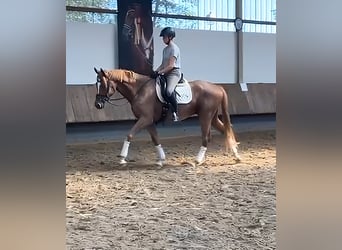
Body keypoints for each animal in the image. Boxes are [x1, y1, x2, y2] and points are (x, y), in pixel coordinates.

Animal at [93, 67, 240, 167]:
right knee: (226, 131)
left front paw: (122, 158)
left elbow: (129, 135)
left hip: (205, 116)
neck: (139, 90)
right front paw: (161, 160)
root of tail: (218, 87)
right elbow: (155, 139)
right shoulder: (148, 121)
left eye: (104, 84)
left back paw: (197, 160)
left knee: (206, 137)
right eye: (96, 84)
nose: (97, 104)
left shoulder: (145, 119)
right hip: (212, 117)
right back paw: (237, 156)